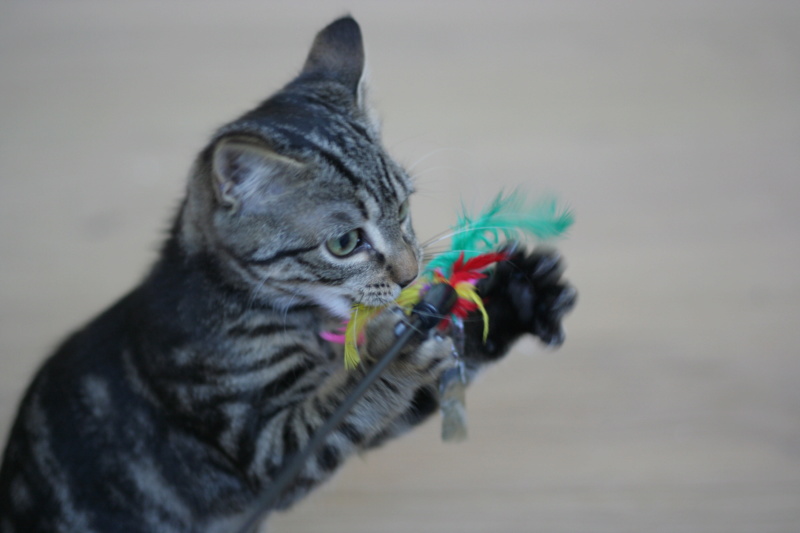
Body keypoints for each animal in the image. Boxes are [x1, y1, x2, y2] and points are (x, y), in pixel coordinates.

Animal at [0, 16, 576, 532]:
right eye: (344, 243)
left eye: (404, 210)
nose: (412, 276)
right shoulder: (266, 445)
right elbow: (351, 403)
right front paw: (394, 357)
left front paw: (513, 298)